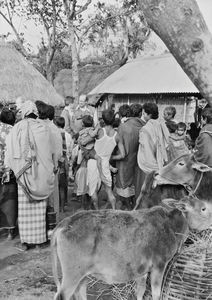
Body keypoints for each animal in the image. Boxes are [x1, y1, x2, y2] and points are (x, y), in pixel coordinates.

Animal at [51, 196, 212, 298]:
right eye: (203, 209)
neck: (170, 226)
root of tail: (66, 222)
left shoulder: (141, 270)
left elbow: (140, 292)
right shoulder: (159, 265)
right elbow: (156, 293)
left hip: (82, 275)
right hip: (72, 274)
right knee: (62, 295)